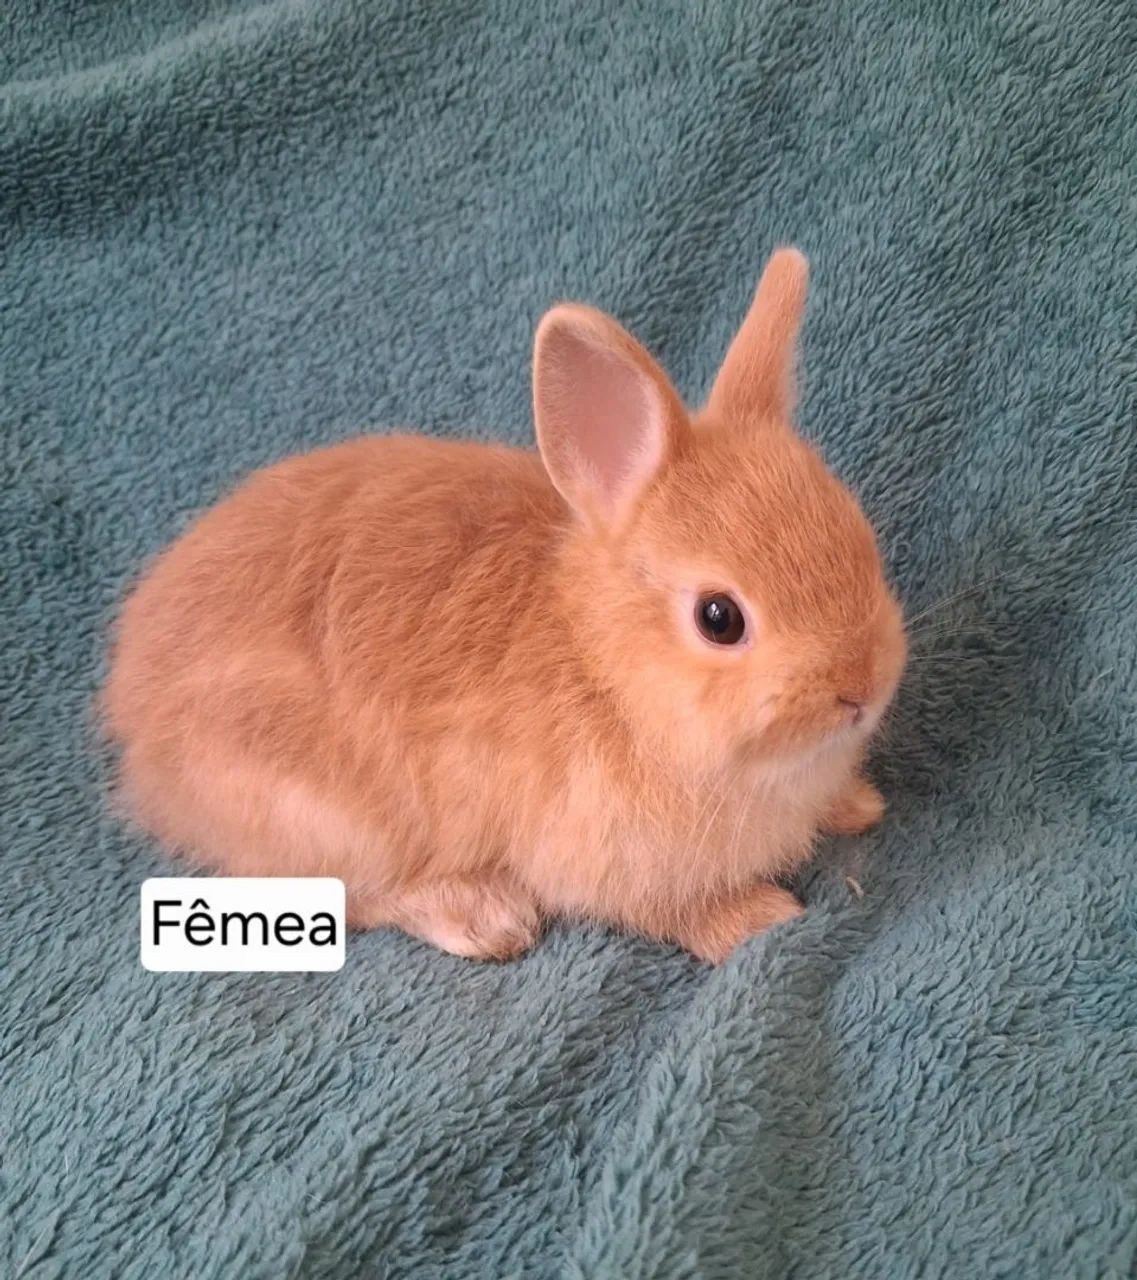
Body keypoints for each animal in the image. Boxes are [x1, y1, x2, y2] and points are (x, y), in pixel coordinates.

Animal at [103, 248, 906, 964]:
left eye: (858, 536)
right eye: (720, 618)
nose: (859, 691)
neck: (603, 668)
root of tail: (131, 712)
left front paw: (859, 804)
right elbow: (675, 911)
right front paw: (760, 918)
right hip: (327, 817)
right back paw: (482, 916)